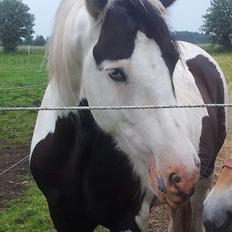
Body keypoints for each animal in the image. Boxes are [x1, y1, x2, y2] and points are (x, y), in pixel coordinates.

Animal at [29, 0, 227, 231]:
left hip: (206, 175)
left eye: (173, 62)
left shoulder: (130, 219)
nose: (183, 172)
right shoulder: (64, 219)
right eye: (115, 73)